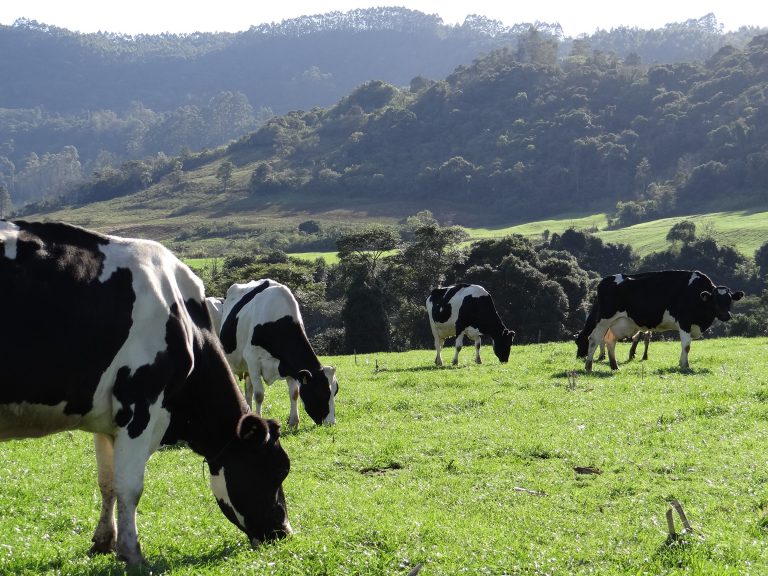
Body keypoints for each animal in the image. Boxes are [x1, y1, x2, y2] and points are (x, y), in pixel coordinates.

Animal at [0, 220, 292, 568]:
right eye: (278, 469)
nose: (285, 532)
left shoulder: (106, 419)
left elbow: (107, 482)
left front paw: (103, 542)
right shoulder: (141, 404)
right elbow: (130, 486)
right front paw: (132, 553)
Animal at [216, 280, 336, 428]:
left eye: (335, 391)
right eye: (321, 392)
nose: (331, 423)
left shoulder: (289, 365)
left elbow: (294, 393)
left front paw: (293, 422)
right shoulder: (253, 360)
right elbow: (259, 395)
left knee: (248, 390)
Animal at [576, 268, 744, 372]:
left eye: (729, 300)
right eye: (715, 300)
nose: (726, 315)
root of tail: (604, 280)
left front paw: (682, 364)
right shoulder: (684, 322)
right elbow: (686, 346)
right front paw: (685, 365)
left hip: (619, 323)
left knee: (610, 341)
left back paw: (614, 366)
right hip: (604, 320)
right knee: (594, 339)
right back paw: (589, 366)